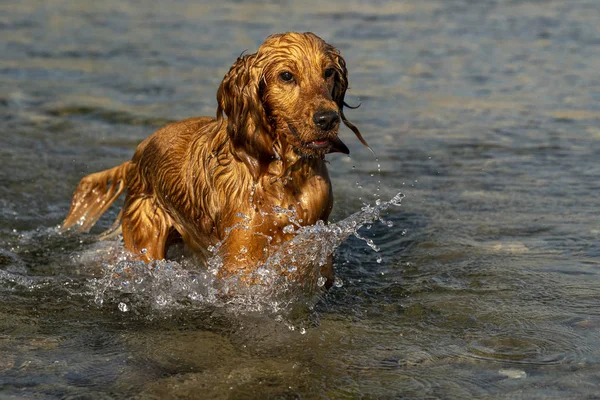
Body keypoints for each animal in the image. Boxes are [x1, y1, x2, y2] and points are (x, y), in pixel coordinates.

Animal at [63, 32, 368, 288]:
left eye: (328, 72)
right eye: (286, 76)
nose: (328, 119)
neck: (280, 173)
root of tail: (137, 155)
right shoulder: (240, 256)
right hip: (146, 237)